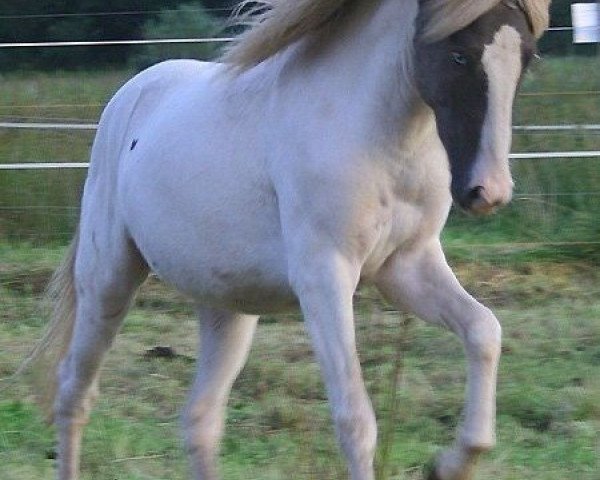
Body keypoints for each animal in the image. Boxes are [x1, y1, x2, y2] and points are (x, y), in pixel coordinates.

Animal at [28, 0, 548, 480]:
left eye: (528, 57)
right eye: (460, 54)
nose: (488, 192)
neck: (376, 137)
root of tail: (128, 97)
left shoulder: (406, 267)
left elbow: (484, 331)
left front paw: (447, 464)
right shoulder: (324, 277)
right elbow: (355, 419)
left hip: (226, 308)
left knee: (200, 420)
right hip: (108, 280)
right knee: (74, 393)